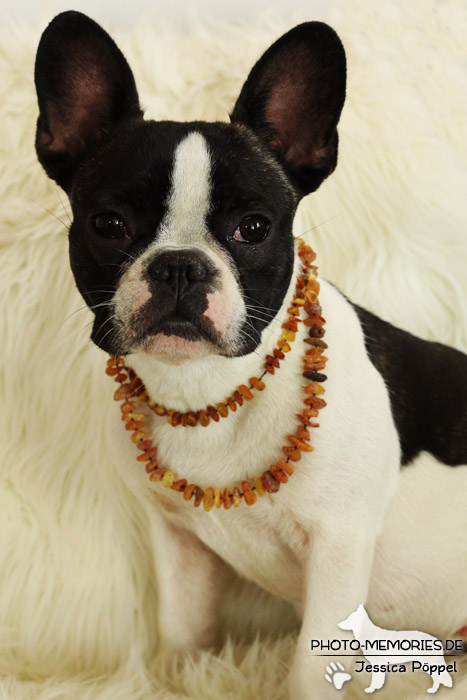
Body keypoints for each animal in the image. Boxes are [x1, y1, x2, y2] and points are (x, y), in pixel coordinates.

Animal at [33, 12, 467, 700]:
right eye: (108, 224)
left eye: (254, 229)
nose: (179, 265)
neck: (207, 391)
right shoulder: (177, 541)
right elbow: (184, 627)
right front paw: (186, 678)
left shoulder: (338, 548)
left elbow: (312, 669)